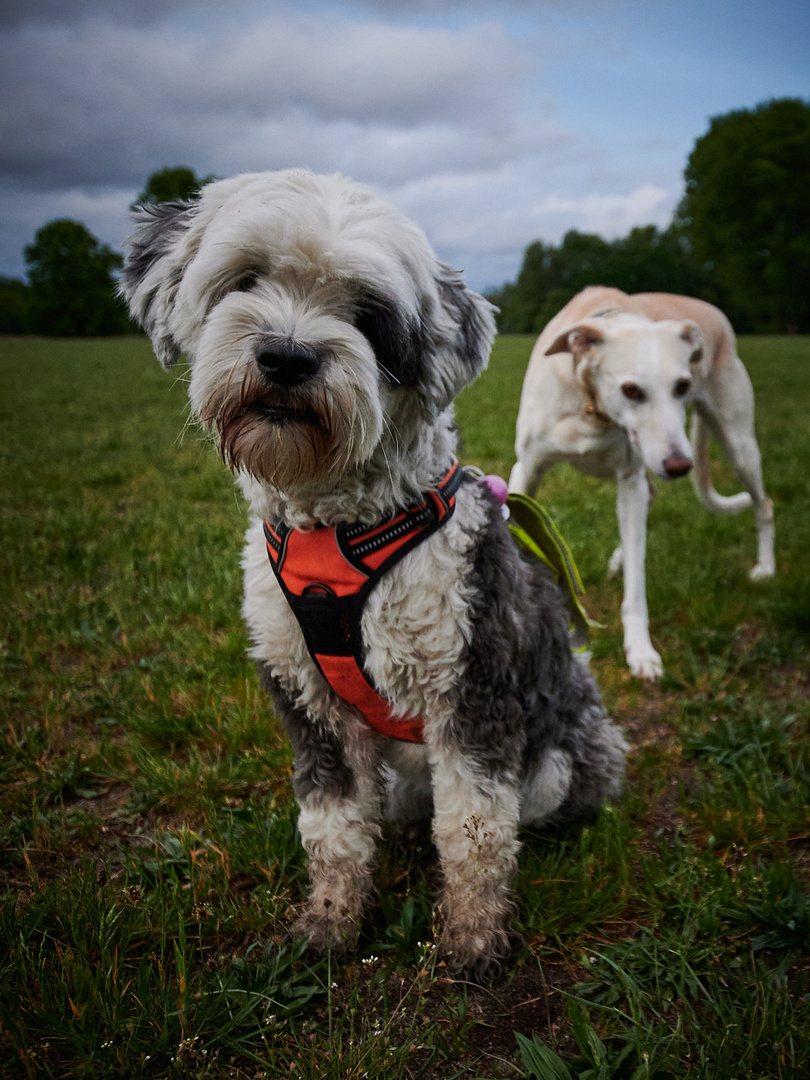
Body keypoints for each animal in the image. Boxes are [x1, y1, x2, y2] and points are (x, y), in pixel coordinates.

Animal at [120, 170, 626, 980]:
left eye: (368, 314)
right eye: (246, 279)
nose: (287, 358)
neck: (337, 532)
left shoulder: (471, 690)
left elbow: (477, 831)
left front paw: (474, 940)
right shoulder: (310, 702)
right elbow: (333, 831)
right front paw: (330, 924)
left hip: (557, 761)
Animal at [509, 282, 777, 678]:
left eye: (682, 386)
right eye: (632, 390)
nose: (681, 466)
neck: (591, 408)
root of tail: (714, 313)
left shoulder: (630, 479)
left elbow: (637, 585)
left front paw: (640, 651)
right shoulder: (526, 469)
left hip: (738, 445)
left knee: (764, 504)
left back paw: (766, 567)